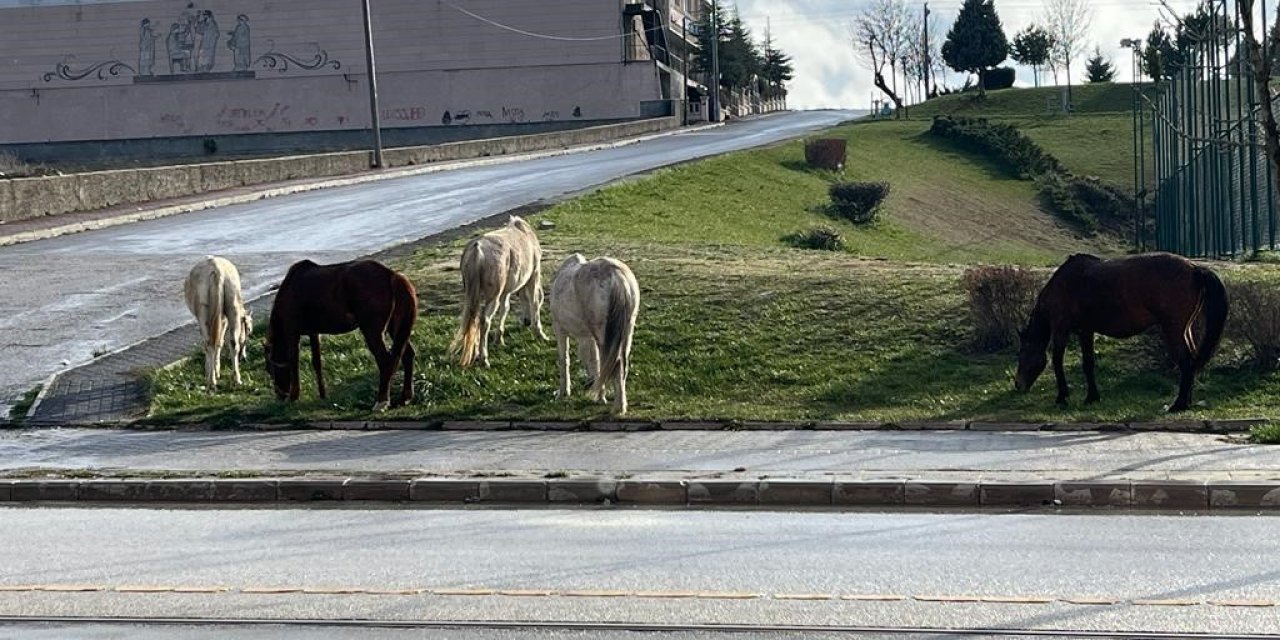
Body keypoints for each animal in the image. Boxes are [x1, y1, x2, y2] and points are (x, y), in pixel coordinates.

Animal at [185, 256, 252, 389]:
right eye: (249, 330)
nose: (244, 358)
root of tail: (217, 269)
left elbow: (216, 341)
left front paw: (212, 371)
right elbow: (220, 341)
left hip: (203, 312)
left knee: (209, 343)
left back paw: (211, 381)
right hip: (232, 304)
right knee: (233, 342)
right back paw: (236, 379)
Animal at [266, 258, 419, 409]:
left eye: (269, 370)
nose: (280, 396)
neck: (289, 289)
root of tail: (391, 275)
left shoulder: (292, 331)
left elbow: (294, 362)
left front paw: (294, 396)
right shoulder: (313, 332)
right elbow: (317, 363)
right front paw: (323, 395)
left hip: (372, 331)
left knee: (386, 362)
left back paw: (381, 401)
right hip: (394, 327)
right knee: (407, 355)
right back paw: (405, 397)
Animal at [450, 216, 545, 368]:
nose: (526, 322)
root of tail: (477, 251)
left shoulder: (505, 292)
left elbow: (505, 309)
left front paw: (499, 339)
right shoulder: (534, 275)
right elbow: (534, 302)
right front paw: (539, 333)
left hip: (473, 294)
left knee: (474, 319)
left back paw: (476, 353)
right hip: (492, 296)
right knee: (485, 320)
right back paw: (484, 359)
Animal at [550, 252, 640, 417]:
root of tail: (617, 276)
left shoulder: (559, 329)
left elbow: (564, 359)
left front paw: (563, 392)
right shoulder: (589, 337)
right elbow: (594, 360)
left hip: (604, 336)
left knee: (615, 365)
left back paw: (617, 407)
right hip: (626, 332)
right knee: (621, 366)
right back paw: (620, 404)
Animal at [1008, 252, 1228, 412]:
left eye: (1022, 353)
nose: (1018, 384)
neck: (1064, 283)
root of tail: (1194, 268)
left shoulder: (1061, 327)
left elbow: (1057, 361)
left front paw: (1062, 396)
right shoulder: (1085, 331)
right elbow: (1088, 363)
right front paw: (1092, 397)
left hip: (1172, 329)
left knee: (1186, 361)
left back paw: (1179, 404)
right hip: (1184, 329)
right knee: (1191, 360)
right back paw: (1186, 401)